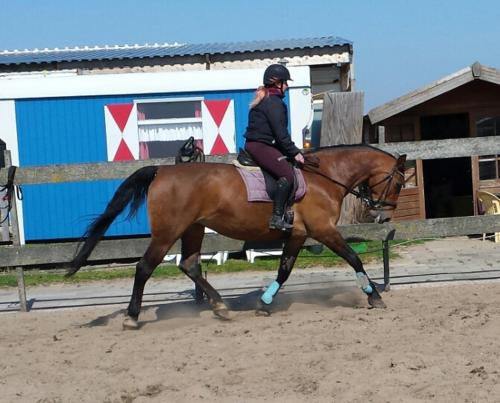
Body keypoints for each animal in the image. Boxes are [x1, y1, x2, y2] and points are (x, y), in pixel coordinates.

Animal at [66, 147, 406, 330]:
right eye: (399, 183)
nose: (383, 216)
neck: (323, 178)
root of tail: (162, 170)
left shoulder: (298, 235)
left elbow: (284, 270)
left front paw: (265, 304)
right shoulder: (324, 230)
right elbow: (353, 257)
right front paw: (373, 295)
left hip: (193, 229)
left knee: (189, 264)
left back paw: (220, 307)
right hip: (168, 232)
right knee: (145, 267)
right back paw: (132, 318)